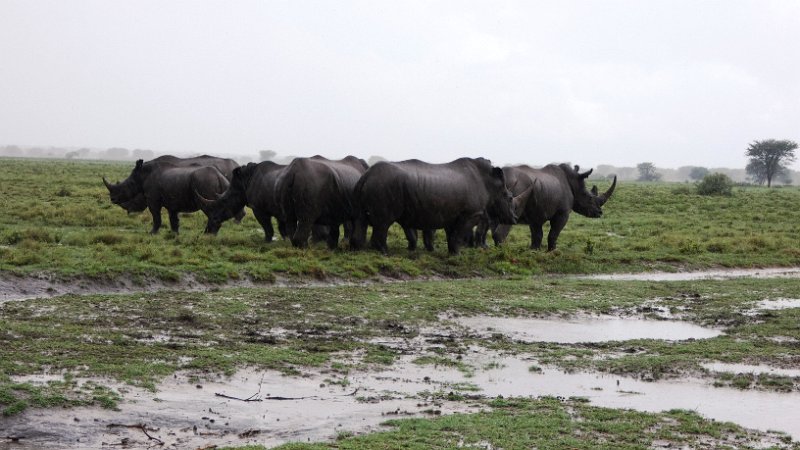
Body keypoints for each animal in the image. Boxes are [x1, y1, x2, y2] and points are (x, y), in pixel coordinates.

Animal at [350, 158, 525, 255]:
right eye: (509, 198)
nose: (515, 218)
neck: (491, 184)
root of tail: (366, 175)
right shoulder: (470, 214)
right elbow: (458, 235)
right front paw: (458, 255)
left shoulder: (452, 213)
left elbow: (452, 235)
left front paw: (452, 253)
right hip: (385, 185)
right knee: (384, 223)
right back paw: (385, 254)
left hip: (368, 187)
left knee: (360, 219)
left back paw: (356, 250)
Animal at [487, 164, 616, 251]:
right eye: (589, 198)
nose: (599, 212)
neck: (573, 182)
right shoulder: (562, 212)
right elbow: (554, 233)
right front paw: (553, 252)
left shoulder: (536, 213)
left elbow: (537, 235)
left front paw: (534, 251)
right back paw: (504, 252)